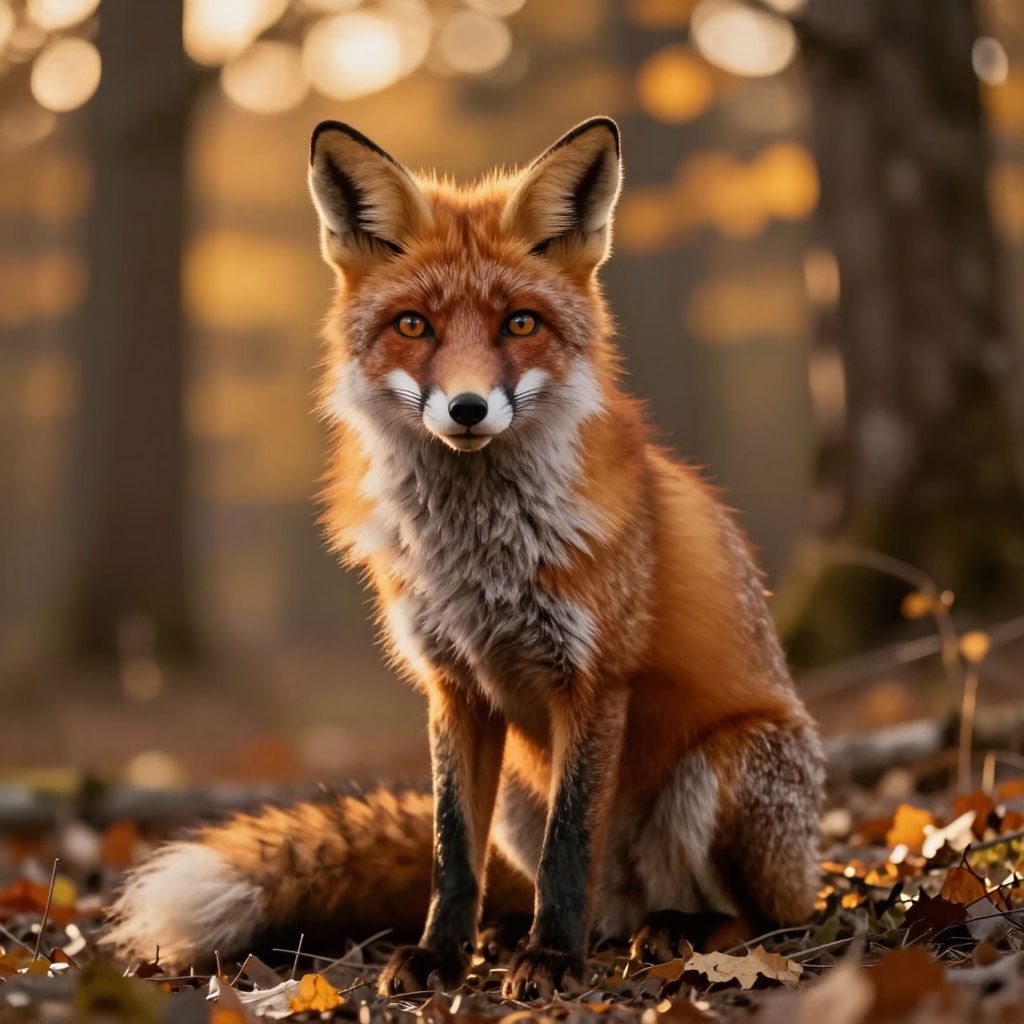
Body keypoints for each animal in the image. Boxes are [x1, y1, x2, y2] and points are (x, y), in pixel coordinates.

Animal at [105, 117, 824, 999]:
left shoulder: (594, 680)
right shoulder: (452, 684)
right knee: (563, 890)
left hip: (725, 771)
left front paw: (551, 958)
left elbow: (568, 847)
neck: (480, 558)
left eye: (520, 324)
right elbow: (452, 850)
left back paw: (675, 932)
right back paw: (560, 932)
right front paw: (442, 955)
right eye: (414, 325)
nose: (469, 407)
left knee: (766, 916)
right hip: (519, 799)